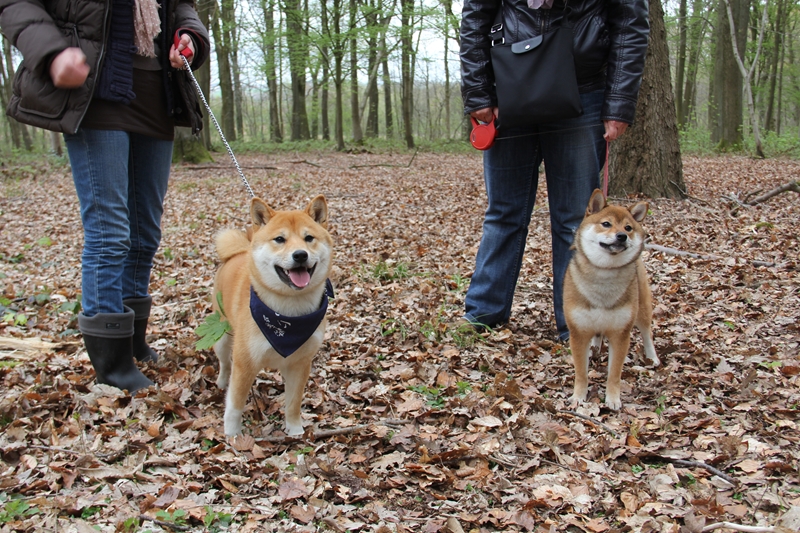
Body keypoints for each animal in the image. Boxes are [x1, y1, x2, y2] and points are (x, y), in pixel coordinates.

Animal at [211, 195, 332, 436]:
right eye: (279, 239)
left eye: (308, 238)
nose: (300, 254)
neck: (287, 315)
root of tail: (237, 253)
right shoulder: (245, 363)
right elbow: (235, 405)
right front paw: (232, 436)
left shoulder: (300, 364)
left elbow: (293, 403)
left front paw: (295, 432)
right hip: (222, 337)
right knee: (225, 363)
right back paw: (221, 382)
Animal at [564, 189, 656, 410]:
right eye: (606, 224)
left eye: (628, 228)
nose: (622, 236)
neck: (604, 274)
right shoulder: (578, 332)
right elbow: (581, 372)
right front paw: (578, 396)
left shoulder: (621, 334)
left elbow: (614, 373)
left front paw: (613, 399)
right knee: (598, 335)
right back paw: (594, 349)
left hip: (642, 308)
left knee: (647, 332)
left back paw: (652, 357)